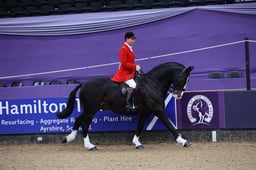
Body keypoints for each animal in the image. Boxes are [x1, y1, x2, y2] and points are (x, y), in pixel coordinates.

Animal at [55, 62, 192, 150]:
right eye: (183, 78)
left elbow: (140, 127)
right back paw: (86, 144)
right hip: (91, 109)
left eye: (188, 80)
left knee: (81, 121)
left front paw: (137, 143)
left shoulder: (146, 111)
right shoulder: (158, 110)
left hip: (90, 109)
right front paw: (184, 141)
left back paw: (73, 140)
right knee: (82, 122)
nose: (179, 95)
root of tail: (84, 83)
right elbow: (170, 126)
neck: (152, 84)